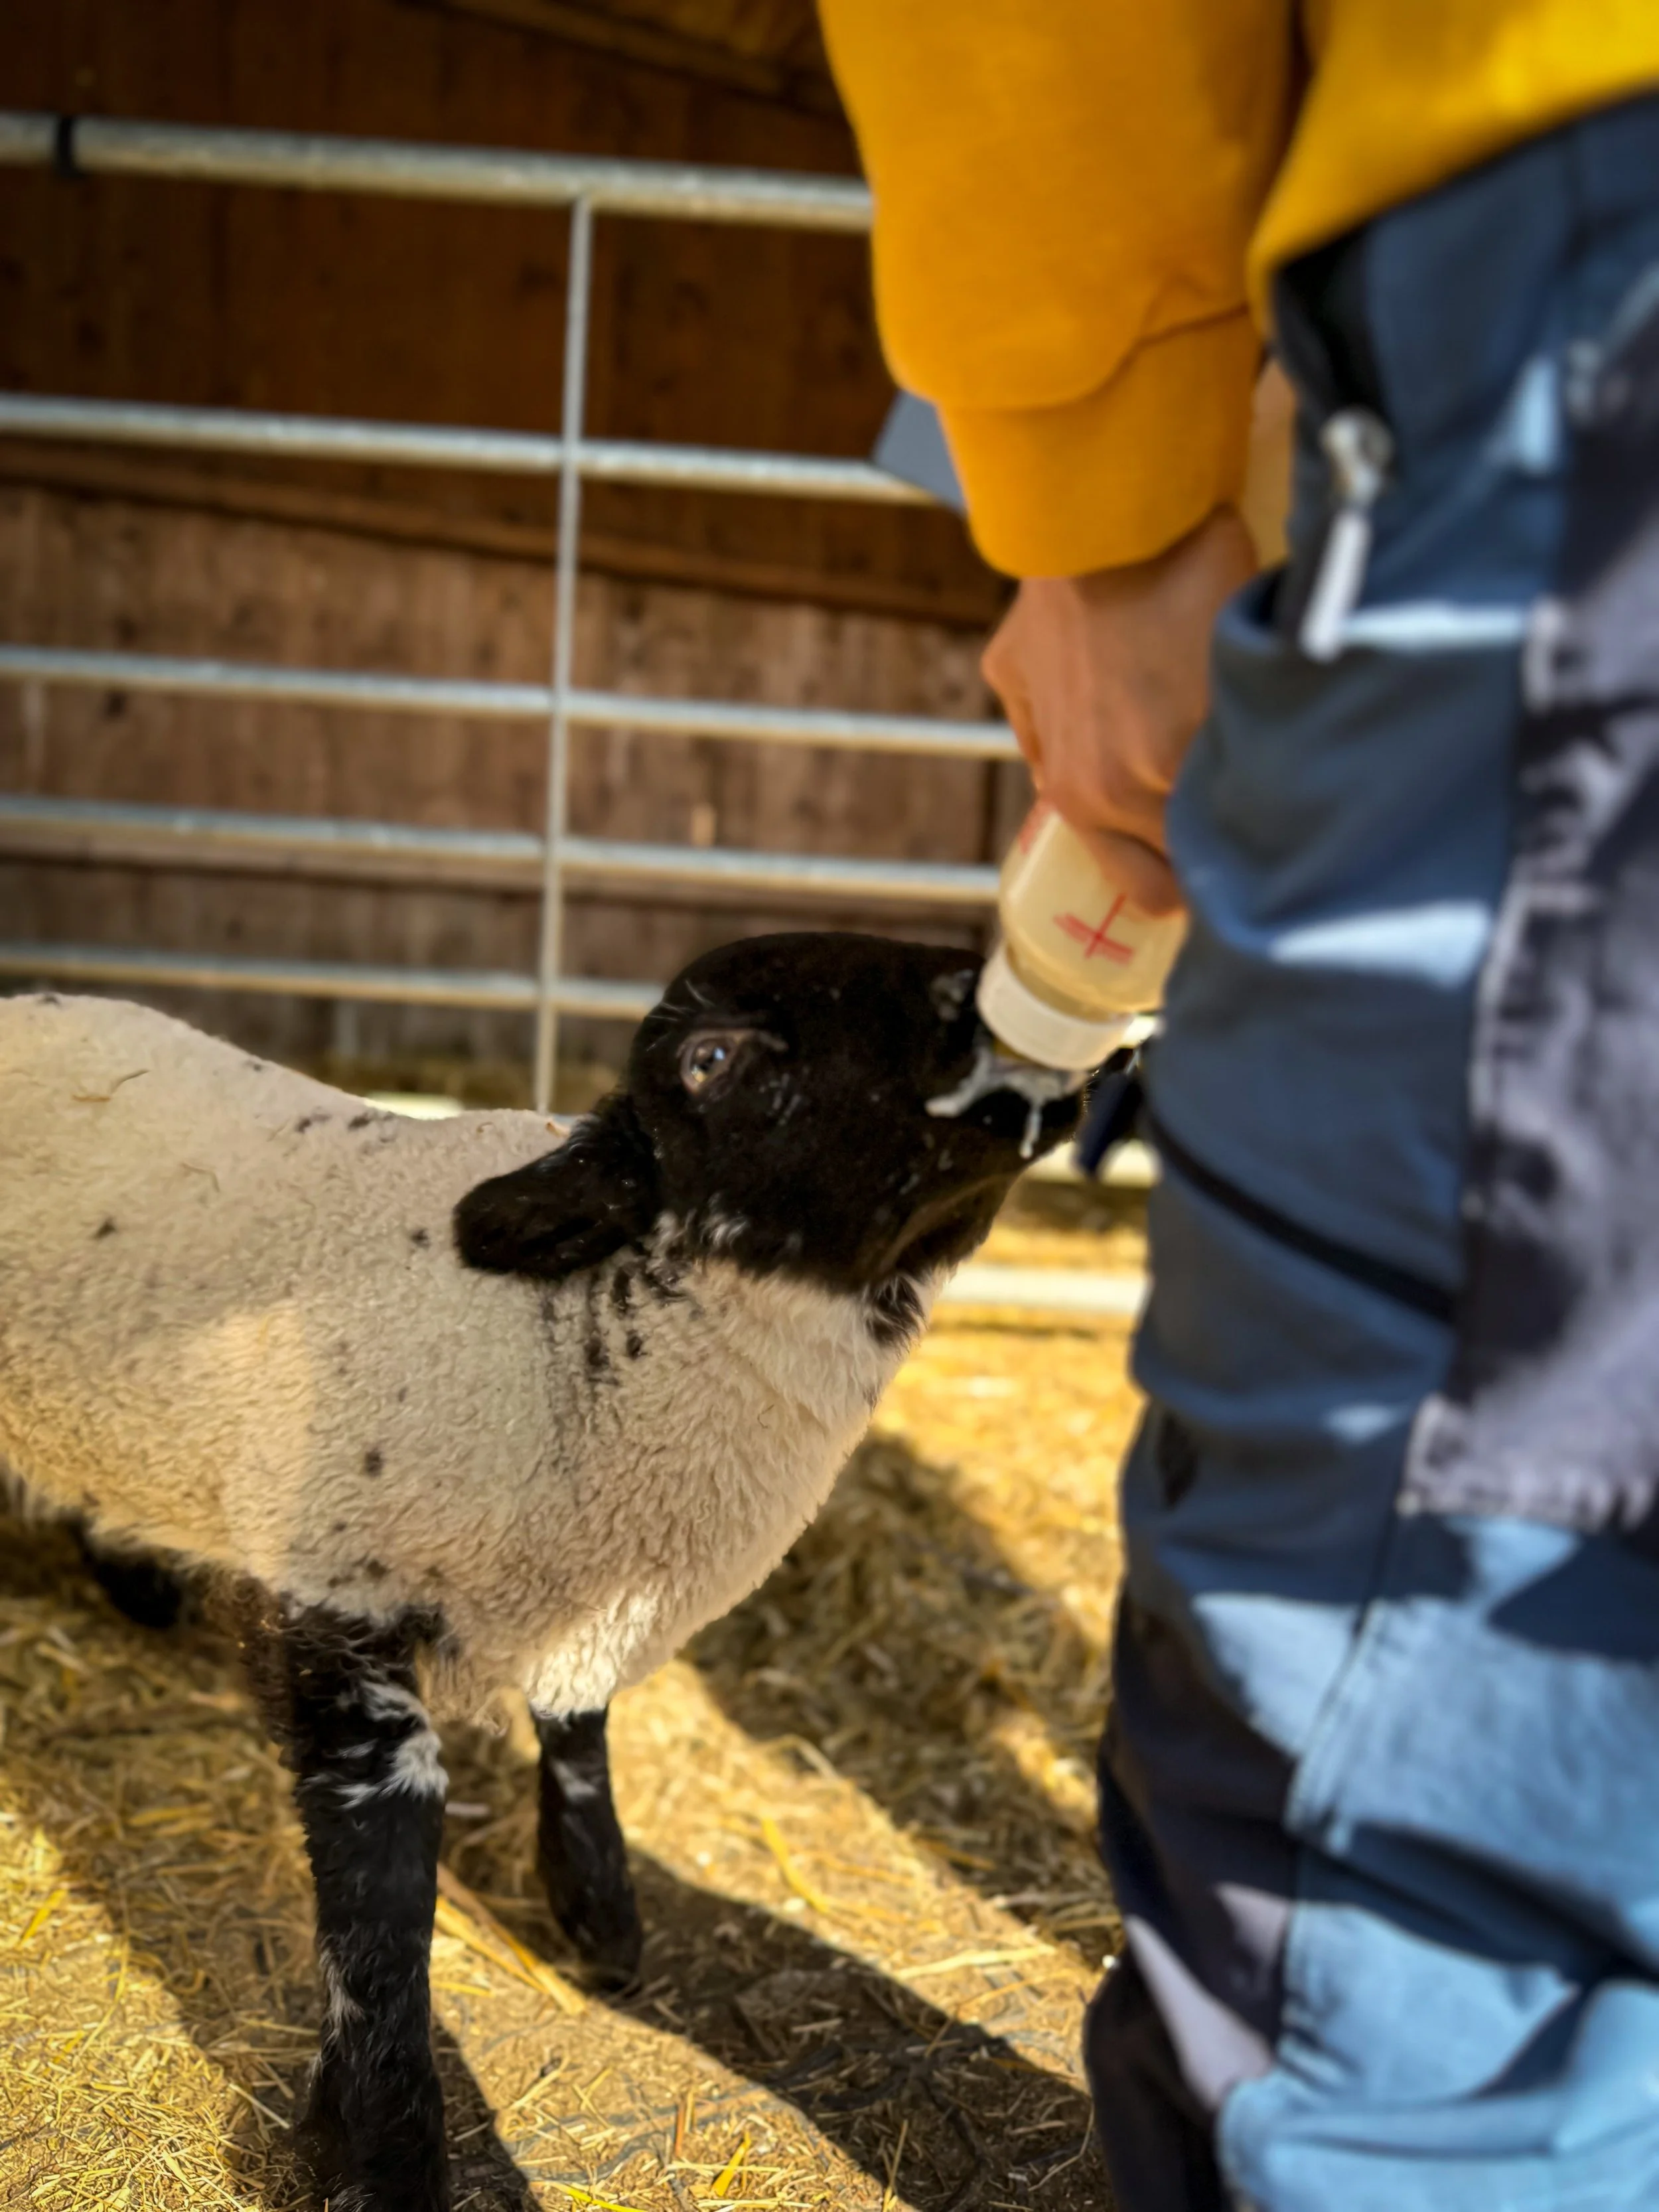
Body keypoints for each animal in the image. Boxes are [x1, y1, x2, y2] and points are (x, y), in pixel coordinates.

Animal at [0, 932, 1082, 2212]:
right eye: (711, 1060)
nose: (1005, 1016)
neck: (563, 1345)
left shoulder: (587, 1603)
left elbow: (578, 1737)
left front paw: (599, 1922)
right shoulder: (335, 1597)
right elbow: (380, 1903)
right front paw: (386, 2147)